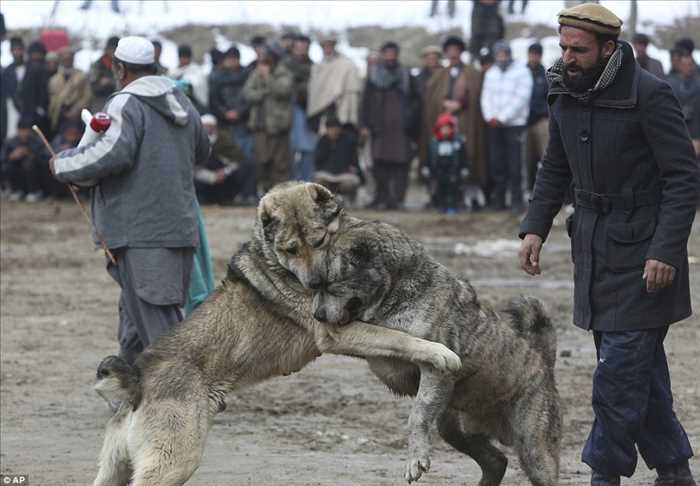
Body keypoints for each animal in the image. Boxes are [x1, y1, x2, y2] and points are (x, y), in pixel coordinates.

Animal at [312, 217, 564, 486]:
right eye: (314, 285)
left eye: (330, 285)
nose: (317, 315)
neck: (395, 288)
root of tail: (544, 363)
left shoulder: (435, 372)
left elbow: (418, 414)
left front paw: (415, 460)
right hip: (454, 429)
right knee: (497, 461)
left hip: (534, 449)